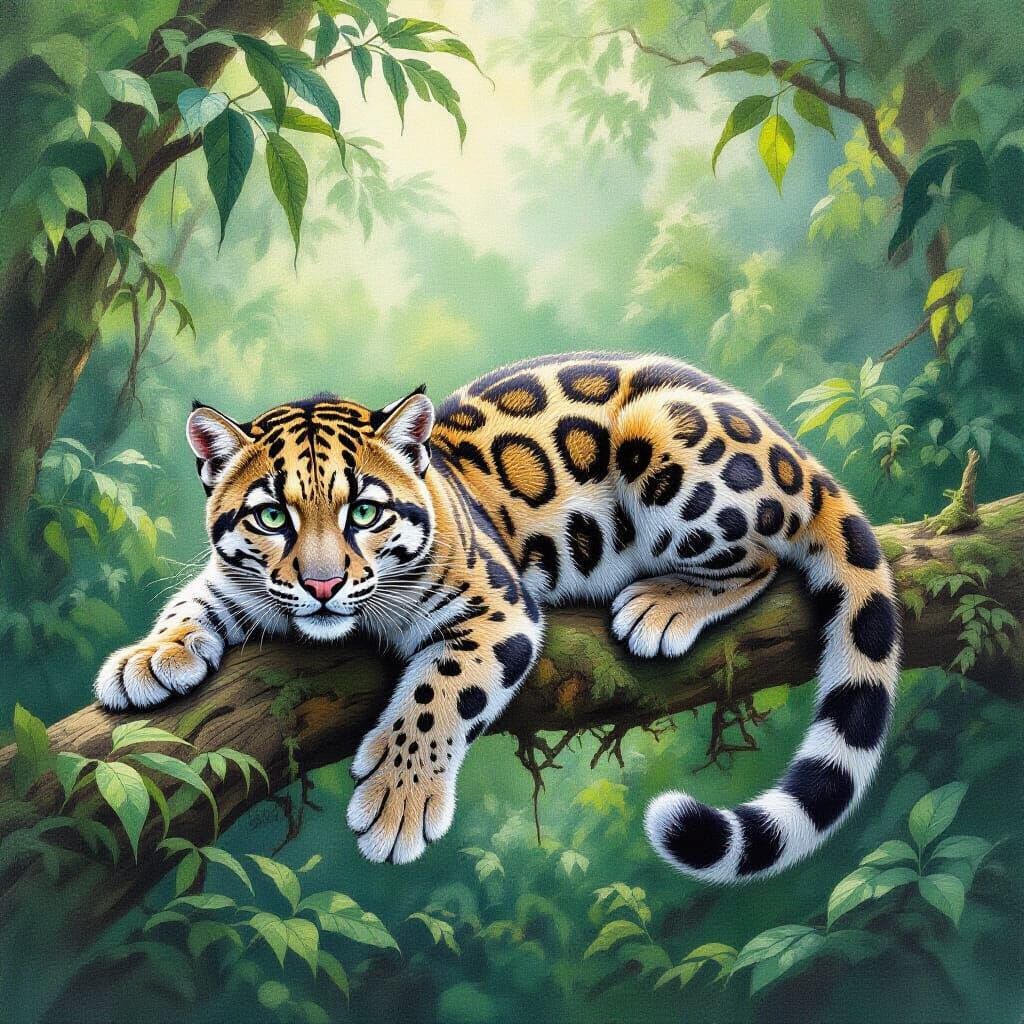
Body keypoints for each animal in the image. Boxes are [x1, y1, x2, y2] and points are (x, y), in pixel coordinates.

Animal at [94, 352, 900, 881]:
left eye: (364, 513)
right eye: (270, 516)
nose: (322, 586)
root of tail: (793, 447)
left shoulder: (498, 608)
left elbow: (441, 692)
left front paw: (399, 801)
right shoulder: (236, 580)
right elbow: (194, 599)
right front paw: (146, 657)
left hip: (663, 440)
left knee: (759, 558)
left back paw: (660, 604)